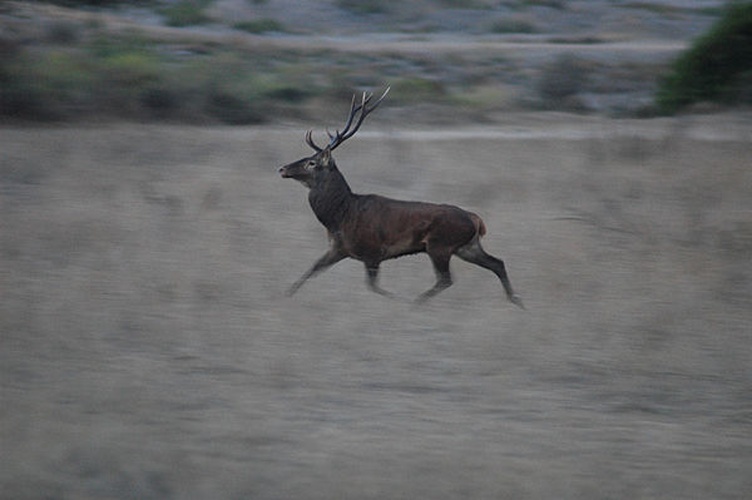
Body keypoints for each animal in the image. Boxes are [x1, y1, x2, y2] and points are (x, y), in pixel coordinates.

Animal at [276, 89, 524, 308]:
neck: (339, 216)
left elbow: (373, 286)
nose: (282, 168)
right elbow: (311, 269)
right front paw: (284, 296)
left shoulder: (372, 252)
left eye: (312, 163)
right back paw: (518, 302)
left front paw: (399, 300)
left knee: (446, 279)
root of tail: (476, 220)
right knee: (497, 263)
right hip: (467, 246)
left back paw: (415, 303)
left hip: (440, 244)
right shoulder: (338, 249)